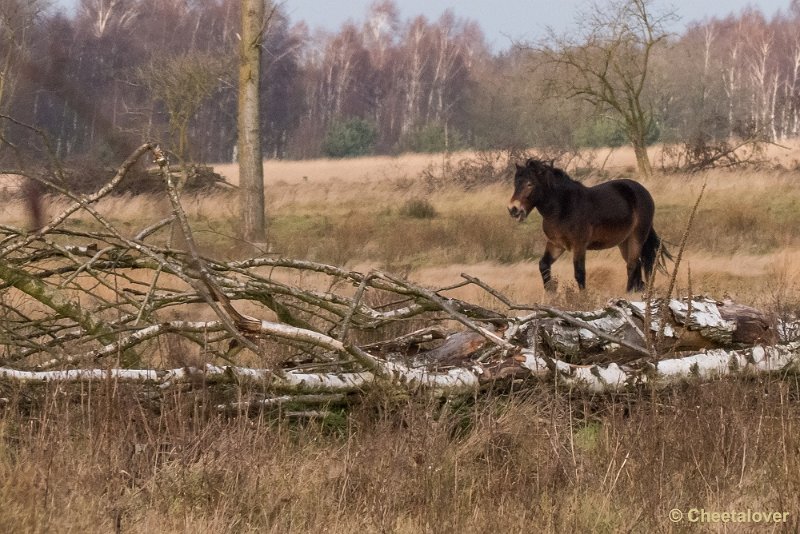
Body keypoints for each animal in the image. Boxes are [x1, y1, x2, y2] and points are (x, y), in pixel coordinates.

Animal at [510, 159, 672, 294]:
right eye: (515, 184)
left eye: (530, 184)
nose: (513, 209)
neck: (562, 208)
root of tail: (643, 192)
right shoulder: (556, 244)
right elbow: (543, 265)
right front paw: (551, 293)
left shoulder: (579, 245)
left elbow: (579, 273)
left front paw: (583, 298)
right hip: (624, 242)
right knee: (636, 265)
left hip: (637, 237)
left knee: (632, 265)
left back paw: (627, 294)